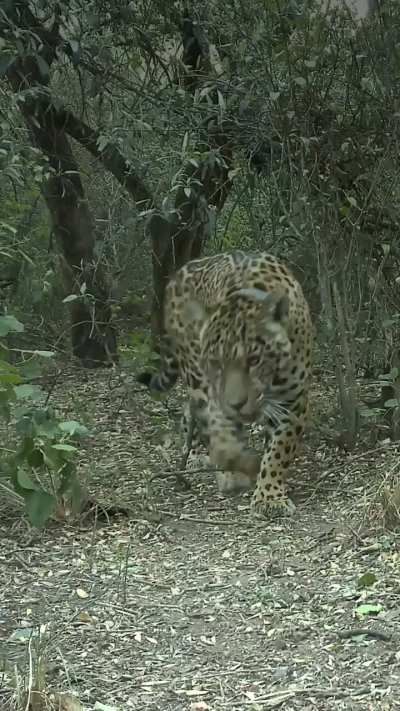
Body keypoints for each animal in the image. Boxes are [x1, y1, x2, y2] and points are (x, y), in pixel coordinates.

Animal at [138, 250, 312, 517]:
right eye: (216, 362)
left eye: (254, 359)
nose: (236, 404)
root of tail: (176, 275)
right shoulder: (215, 397)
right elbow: (224, 438)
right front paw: (239, 470)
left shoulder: (293, 401)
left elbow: (279, 449)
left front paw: (269, 496)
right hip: (196, 377)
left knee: (189, 413)